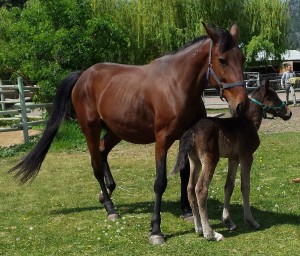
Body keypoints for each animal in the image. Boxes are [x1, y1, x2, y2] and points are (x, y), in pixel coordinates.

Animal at [8, 22, 248, 244]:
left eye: (242, 58)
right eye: (222, 60)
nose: (241, 105)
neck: (176, 85)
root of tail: (84, 75)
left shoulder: (185, 138)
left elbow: (184, 173)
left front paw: (187, 211)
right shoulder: (162, 141)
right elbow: (160, 182)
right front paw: (156, 230)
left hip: (116, 131)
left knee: (102, 153)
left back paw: (106, 195)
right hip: (91, 129)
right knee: (95, 165)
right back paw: (111, 208)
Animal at [172, 79, 292, 240]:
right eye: (274, 98)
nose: (289, 113)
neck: (248, 123)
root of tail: (192, 130)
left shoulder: (233, 158)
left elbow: (229, 186)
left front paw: (228, 221)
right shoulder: (246, 156)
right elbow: (245, 186)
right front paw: (251, 221)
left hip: (194, 161)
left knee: (190, 188)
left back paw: (198, 228)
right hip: (210, 159)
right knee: (201, 189)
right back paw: (210, 233)